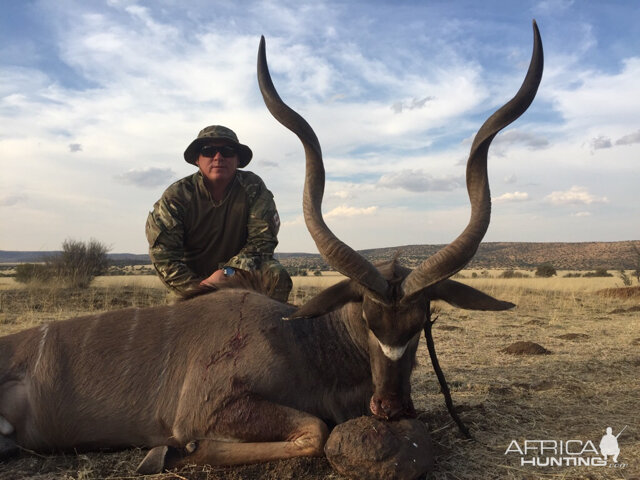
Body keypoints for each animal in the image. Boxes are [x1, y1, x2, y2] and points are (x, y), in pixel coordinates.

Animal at [0, 21, 540, 472]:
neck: (298, 340)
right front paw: (176, 451)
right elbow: (315, 432)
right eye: (367, 318)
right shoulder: (210, 407)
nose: (389, 408)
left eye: (423, 319)